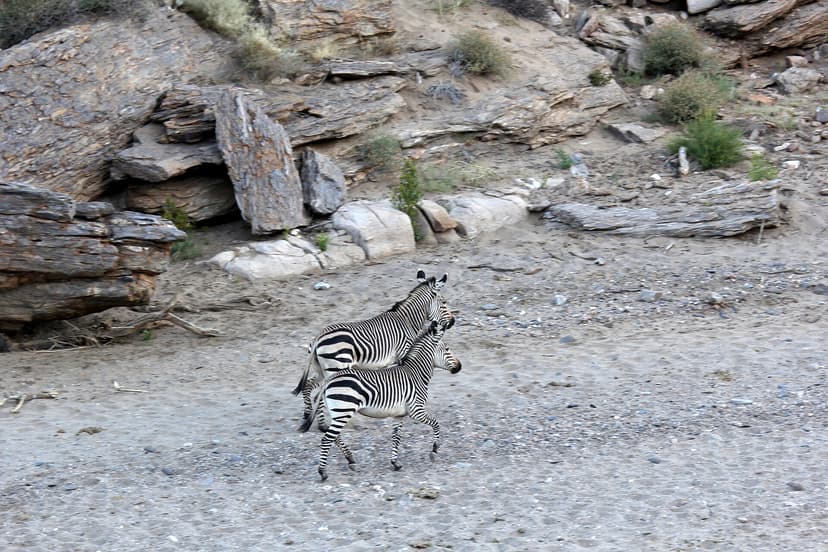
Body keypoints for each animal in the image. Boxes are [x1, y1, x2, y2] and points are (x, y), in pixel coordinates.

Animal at [292, 270, 455, 421]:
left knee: (309, 386)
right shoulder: (403, 354)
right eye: (444, 303)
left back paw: (313, 418)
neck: (407, 321)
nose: (453, 322)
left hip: (321, 369)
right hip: (336, 368)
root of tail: (319, 337)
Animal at [299, 320, 461, 481]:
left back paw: (350, 460)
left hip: (338, 412)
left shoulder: (399, 415)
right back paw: (323, 472)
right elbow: (436, 424)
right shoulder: (416, 410)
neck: (415, 373)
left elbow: (396, 437)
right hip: (344, 410)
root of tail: (330, 380)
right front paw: (434, 450)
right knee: (327, 439)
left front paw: (395, 463)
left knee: (335, 437)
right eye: (447, 349)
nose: (459, 367)